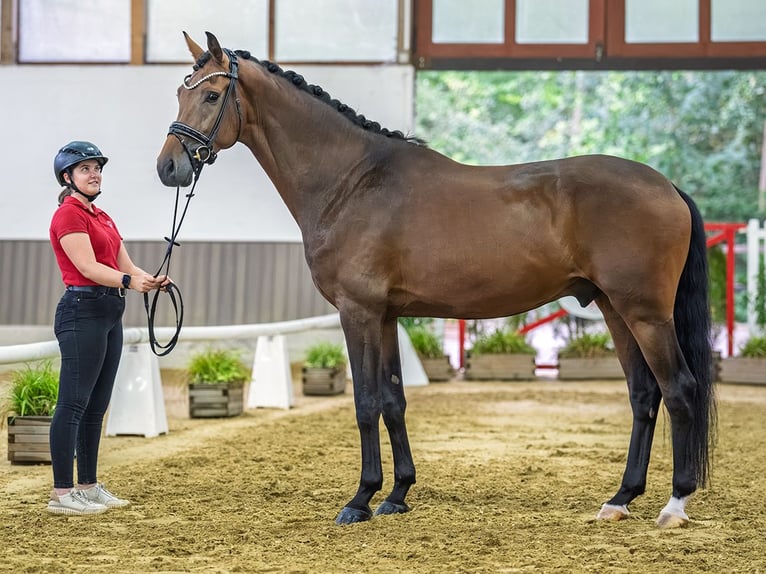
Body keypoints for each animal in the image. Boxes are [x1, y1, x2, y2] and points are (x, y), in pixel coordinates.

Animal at [156, 32, 715, 529]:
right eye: (181, 92)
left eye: (211, 94)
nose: (168, 167)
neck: (352, 182)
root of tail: (666, 185)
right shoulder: (386, 317)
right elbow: (393, 401)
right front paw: (397, 494)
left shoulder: (357, 312)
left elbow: (364, 403)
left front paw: (359, 500)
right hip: (615, 309)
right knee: (644, 395)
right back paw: (620, 499)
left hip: (645, 314)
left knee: (679, 389)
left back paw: (674, 505)